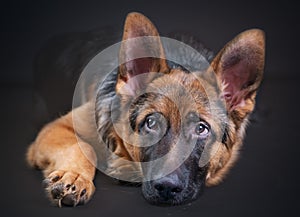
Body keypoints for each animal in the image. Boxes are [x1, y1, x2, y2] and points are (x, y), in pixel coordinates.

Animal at [25, 12, 264, 207]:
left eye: (201, 128)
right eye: (151, 123)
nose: (167, 187)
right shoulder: (55, 128)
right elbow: (83, 146)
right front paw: (75, 177)